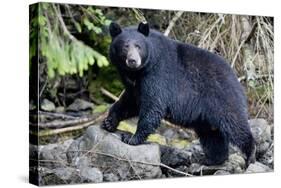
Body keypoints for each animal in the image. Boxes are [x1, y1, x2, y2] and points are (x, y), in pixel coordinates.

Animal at [101, 22, 255, 166]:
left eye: (138, 46)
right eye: (125, 46)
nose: (133, 60)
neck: (137, 72)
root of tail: (236, 79)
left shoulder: (157, 75)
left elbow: (152, 106)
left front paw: (132, 138)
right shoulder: (135, 86)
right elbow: (129, 103)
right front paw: (109, 122)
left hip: (223, 98)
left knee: (235, 125)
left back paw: (250, 154)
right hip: (205, 118)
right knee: (212, 136)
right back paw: (212, 160)